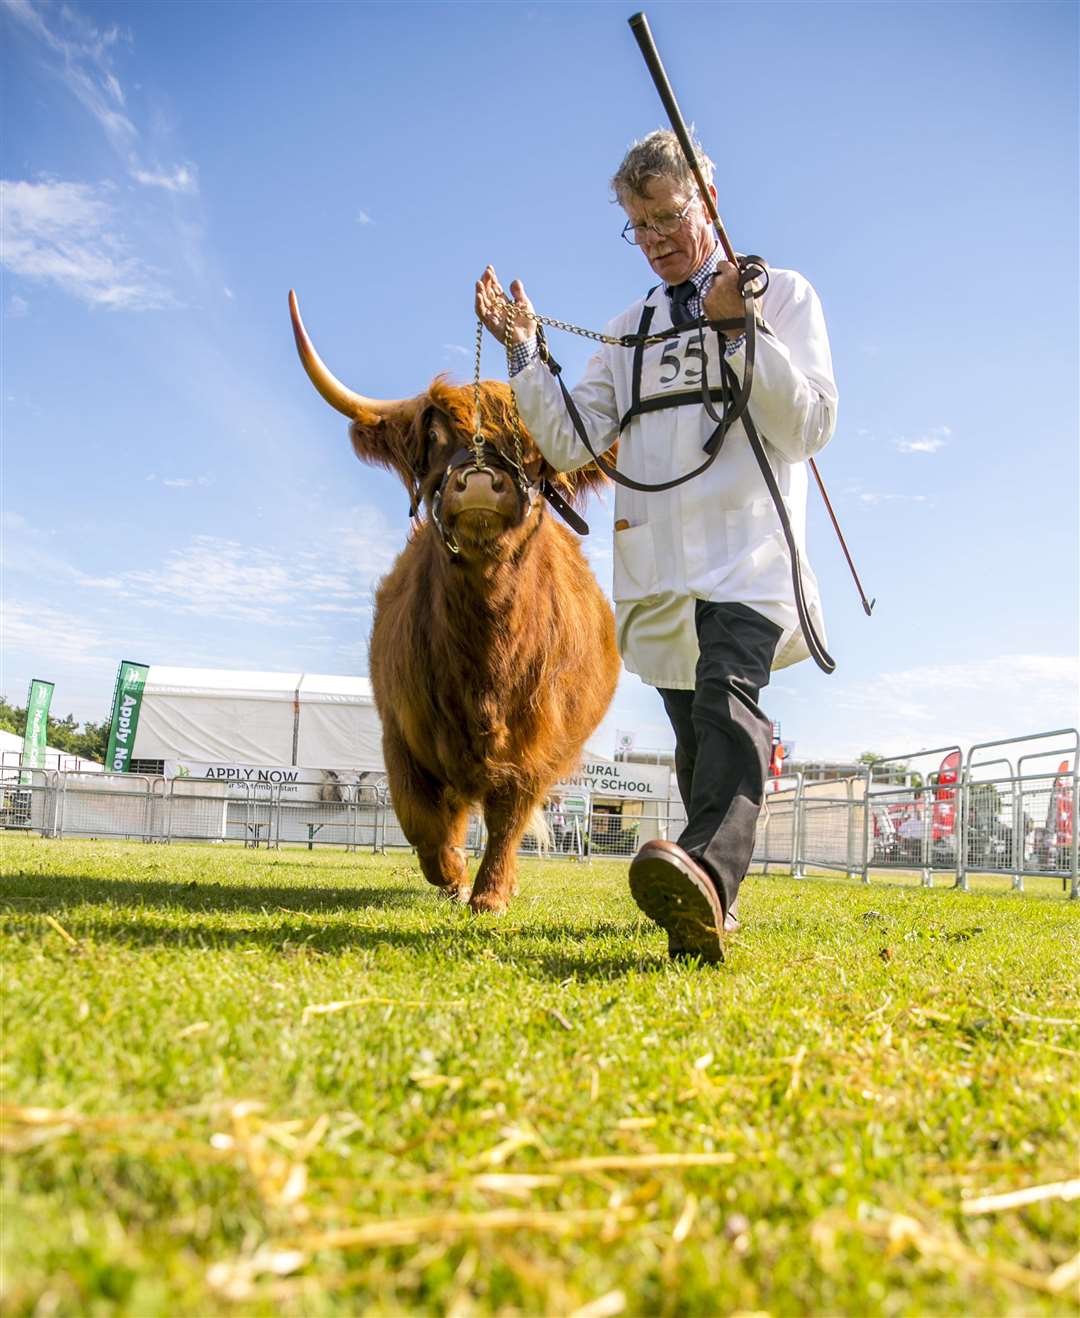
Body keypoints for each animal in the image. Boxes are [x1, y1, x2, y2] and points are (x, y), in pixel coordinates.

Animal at [291, 296, 619, 917]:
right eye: (438, 436)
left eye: (533, 444)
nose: (481, 481)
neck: (484, 659)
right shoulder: (401, 730)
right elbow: (421, 819)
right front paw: (452, 876)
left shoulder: (538, 744)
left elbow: (510, 816)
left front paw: (490, 894)